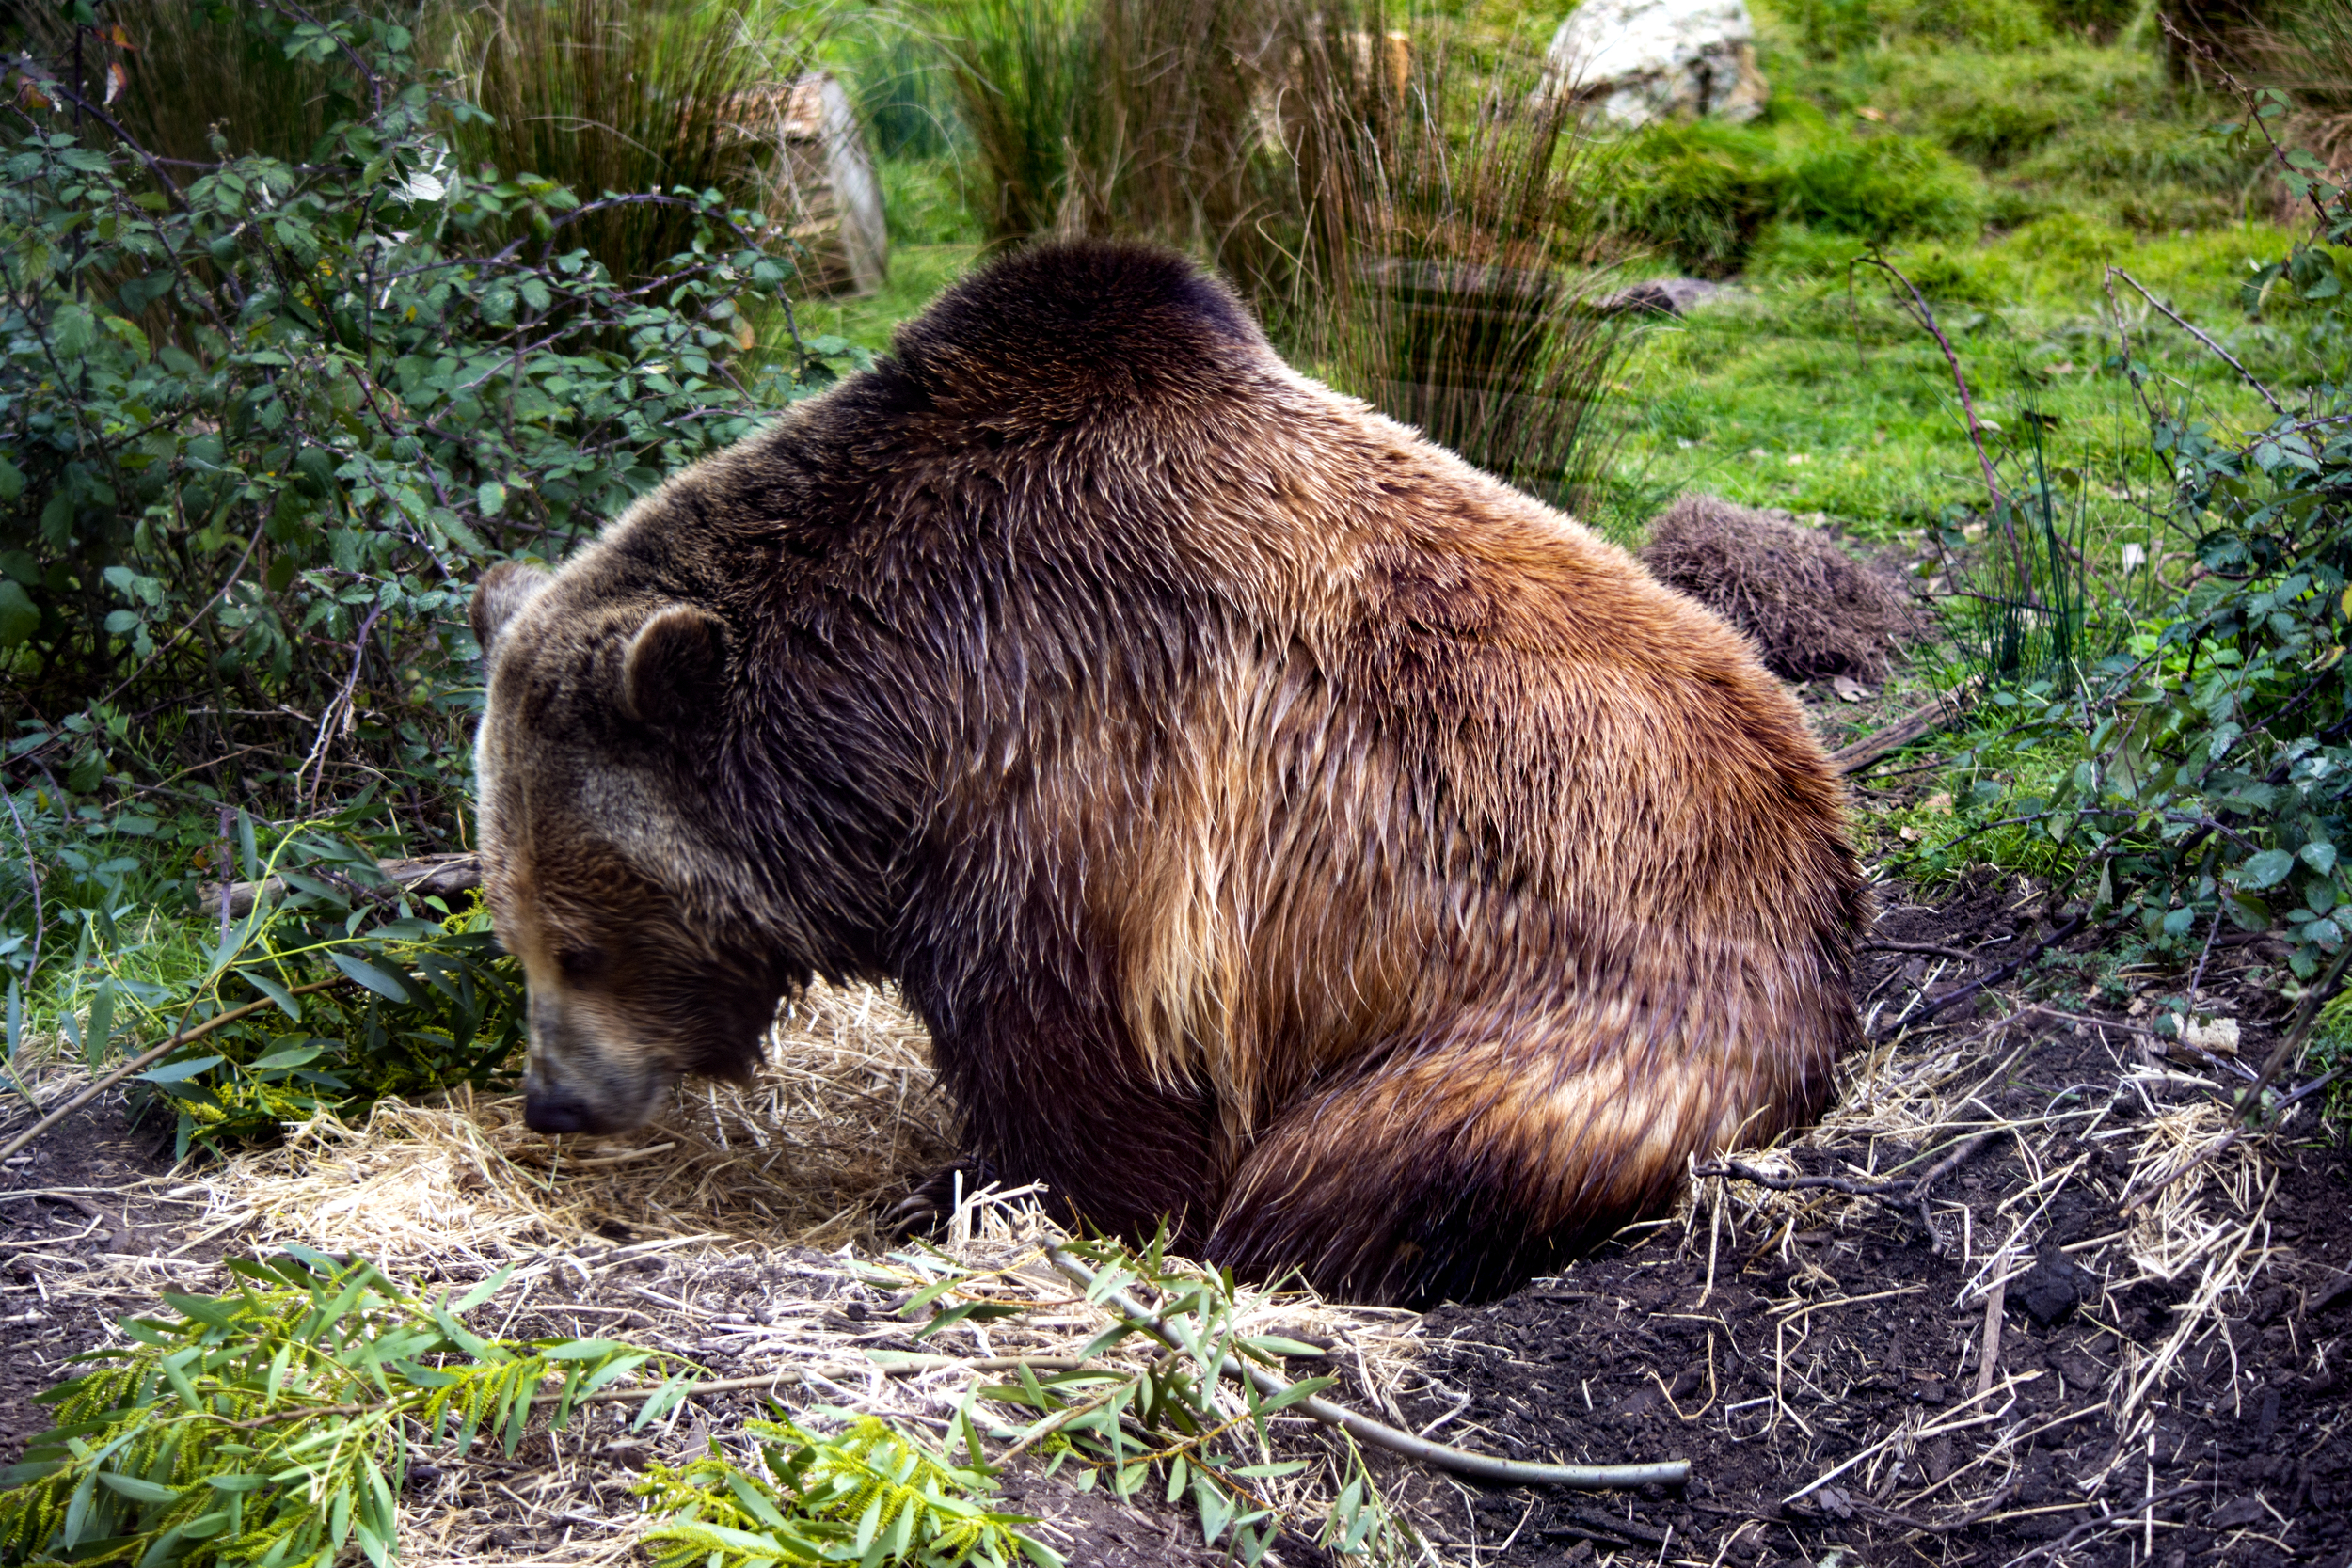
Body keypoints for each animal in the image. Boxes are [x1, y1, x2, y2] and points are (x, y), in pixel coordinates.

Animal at [469, 239, 1867, 1308]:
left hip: (1592, 1006)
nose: (553, 1096)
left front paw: (977, 1191)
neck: (888, 710)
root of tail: (1822, 845)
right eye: (512, 924)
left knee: (1378, 1155)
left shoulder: (1090, 768)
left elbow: (1082, 1059)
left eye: (581, 938)